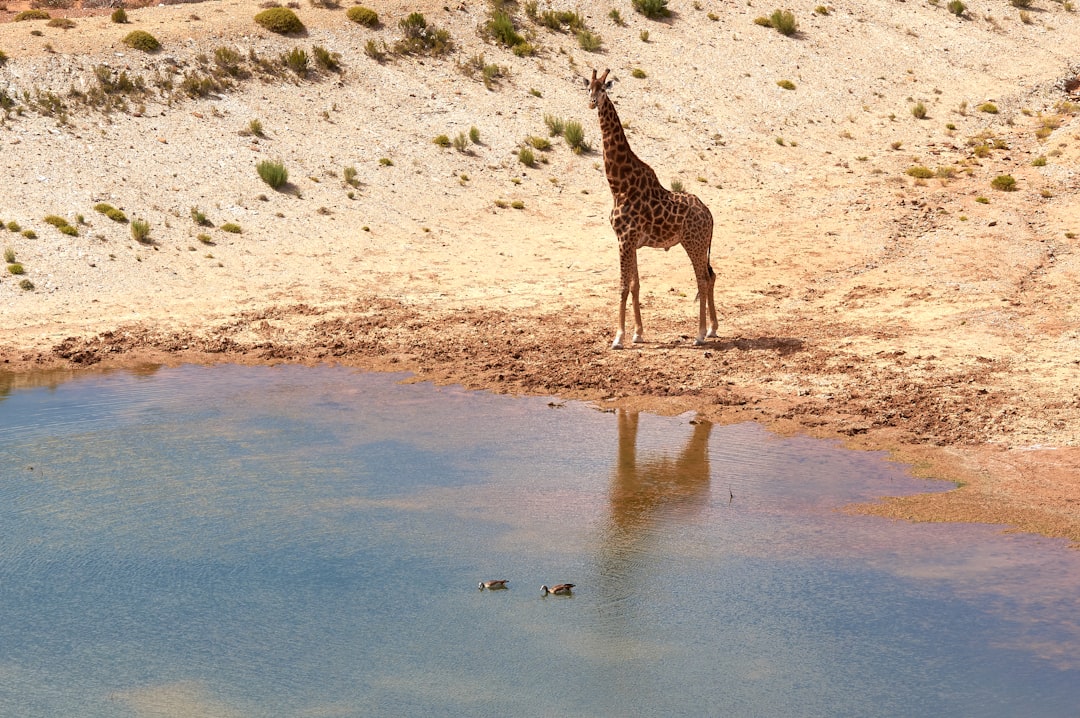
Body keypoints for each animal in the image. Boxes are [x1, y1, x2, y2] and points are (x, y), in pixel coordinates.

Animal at [583, 68, 717, 347]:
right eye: (588, 88)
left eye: (603, 90)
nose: (591, 103)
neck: (618, 185)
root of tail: (710, 214)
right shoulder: (629, 241)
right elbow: (635, 285)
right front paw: (637, 334)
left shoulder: (625, 238)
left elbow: (622, 285)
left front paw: (618, 338)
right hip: (700, 244)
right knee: (711, 276)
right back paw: (712, 329)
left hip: (693, 242)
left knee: (702, 278)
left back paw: (700, 334)